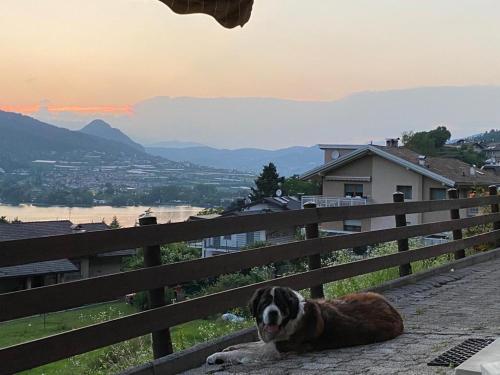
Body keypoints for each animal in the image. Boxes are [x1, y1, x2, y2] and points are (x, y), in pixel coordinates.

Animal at [205, 286, 404, 366]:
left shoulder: (280, 348)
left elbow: (250, 351)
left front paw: (216, 356)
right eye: (264, 303)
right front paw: (227, 348)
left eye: (280, 304)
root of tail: (394, 311)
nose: (272, 313)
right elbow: (249, 345)